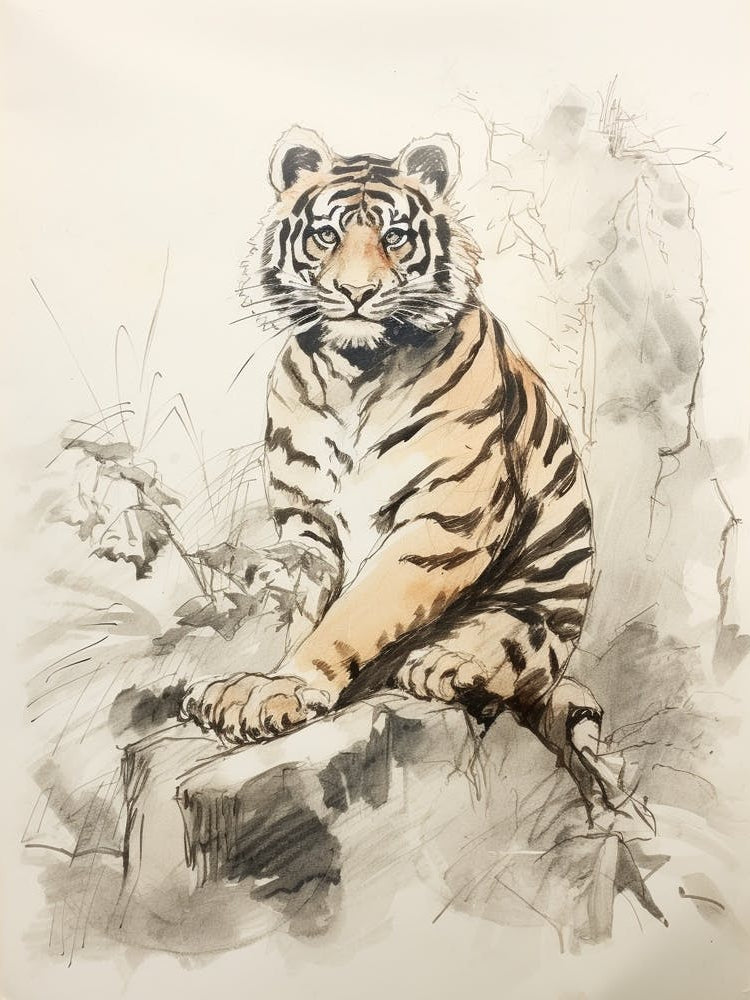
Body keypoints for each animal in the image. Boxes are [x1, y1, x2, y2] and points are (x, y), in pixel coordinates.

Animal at [181, 126, 641, 821]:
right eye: (326, 235)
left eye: (394, 236)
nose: (357, 293)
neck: (353, 372)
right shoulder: (307, 528)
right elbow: (302, 611)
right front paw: (254, 688)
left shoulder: (445, 521)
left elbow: (357, 612)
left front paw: (284, 688)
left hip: (537, 619)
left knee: (514, 665)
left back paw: (446, 663)